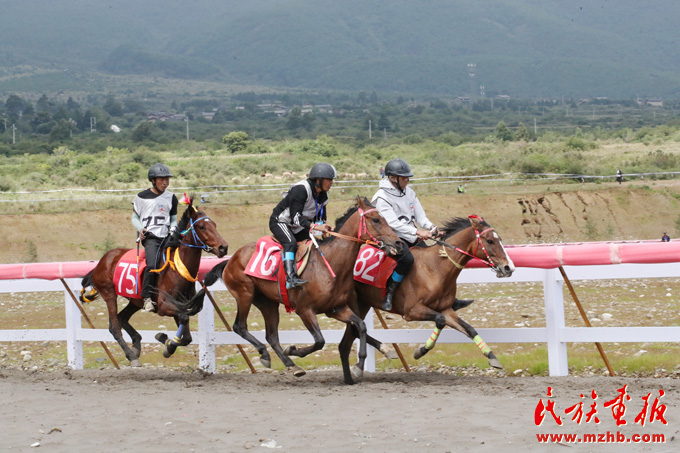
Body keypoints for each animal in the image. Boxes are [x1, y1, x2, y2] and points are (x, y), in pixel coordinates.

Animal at [78, 196, 228, 366]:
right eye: (202, 226)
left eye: (214, 224)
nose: (223, 247)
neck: (177, 269)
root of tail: (101, 262)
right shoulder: (164, 305)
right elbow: (183, 320)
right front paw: (166, 342)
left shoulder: (181, 304)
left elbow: (187, 336)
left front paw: (167, 343)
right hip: (109, 294)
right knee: (114, 328)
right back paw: (131, 355)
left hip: (135, 300)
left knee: (123, 318)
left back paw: (136, 345)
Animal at [191, 196, 404, 384]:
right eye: (376, 219)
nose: (399, 243)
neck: (330, 264)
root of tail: (231, 259)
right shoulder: (305, 310)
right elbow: (320, 341)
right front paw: (293, 350)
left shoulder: (337, 309)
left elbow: (360, 326)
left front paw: (360, 365)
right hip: (245, 294)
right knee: (240, 326)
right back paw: (268, 355)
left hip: (267, 302)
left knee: (271, 335)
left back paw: (291, 365)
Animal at [346, 214, 516, 376]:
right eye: (490, 241)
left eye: (500, 239)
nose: (509, 268)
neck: (435, 268)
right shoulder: (412, 311)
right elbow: (440, 320)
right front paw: (420, 351)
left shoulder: (446, 310)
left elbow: (469, 329)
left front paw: (492, 356)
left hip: (363, 302)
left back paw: (386, 350)